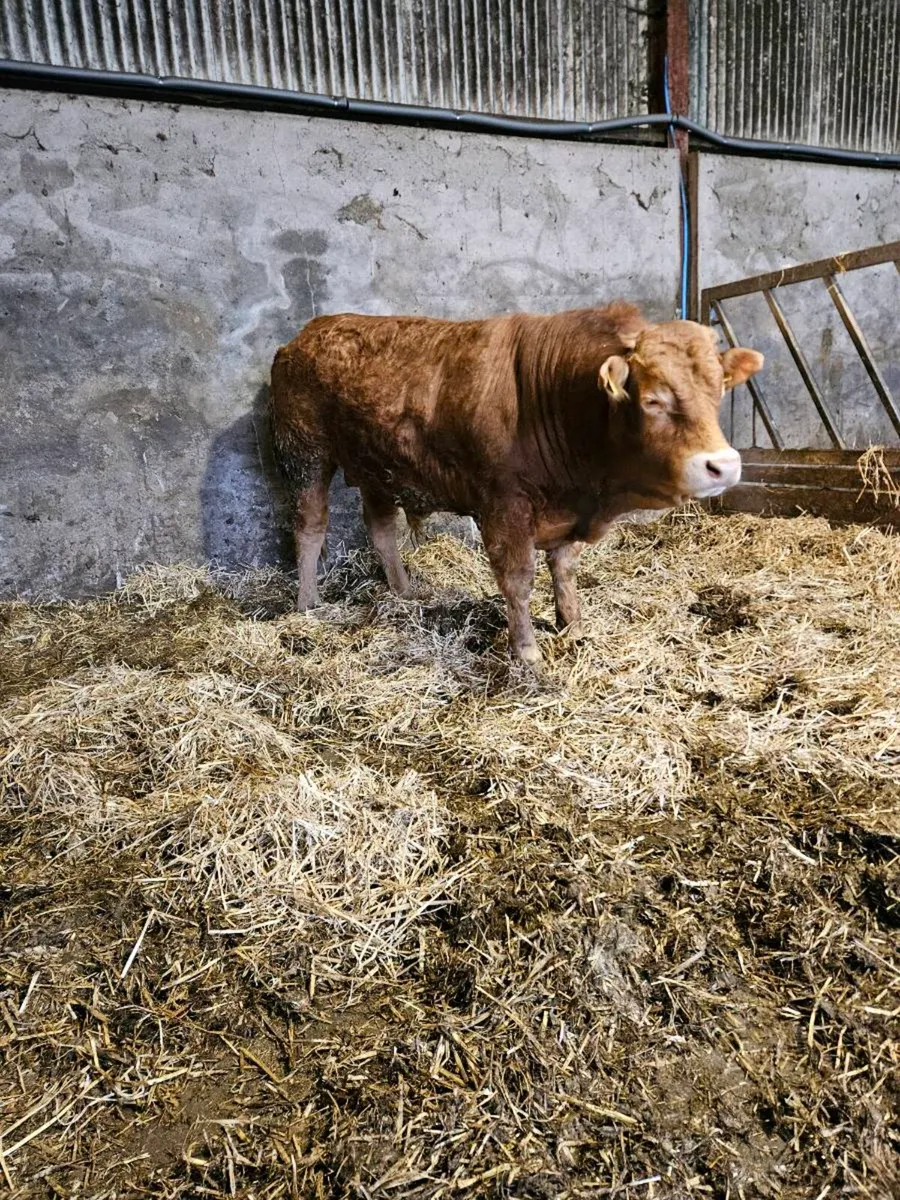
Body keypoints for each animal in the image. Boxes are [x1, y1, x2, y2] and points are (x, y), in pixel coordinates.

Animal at [269, 303, 763, 667]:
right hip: (305, 453)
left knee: (381, 528)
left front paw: (573, 628)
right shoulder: (504, 506)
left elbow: (564, 571)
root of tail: (307, 333)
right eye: (653, 400)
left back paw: (405, 591)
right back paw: (307, 603)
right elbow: (518, 580)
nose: (723, 466)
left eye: (719, 390)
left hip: (379, 466)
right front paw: (526, 653)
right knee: (310, 526)